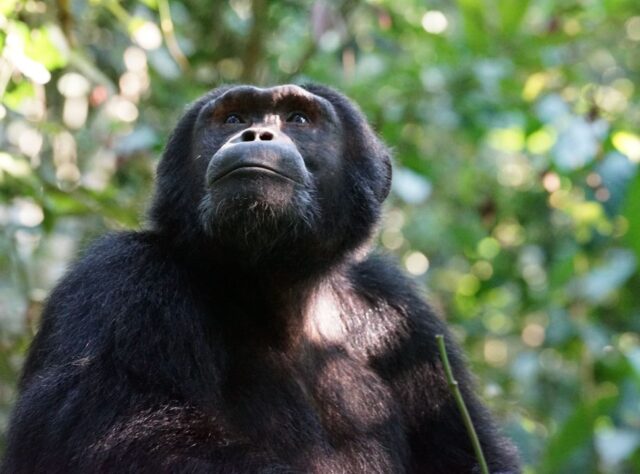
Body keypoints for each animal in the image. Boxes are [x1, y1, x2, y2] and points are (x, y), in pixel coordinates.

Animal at [1, 85, 520, 474]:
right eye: (232, 118)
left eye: (299, 117)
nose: (256, 132)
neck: (275, 288)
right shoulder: (117, 283)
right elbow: (104, 437)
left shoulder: (401, 319)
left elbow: (466, 452)